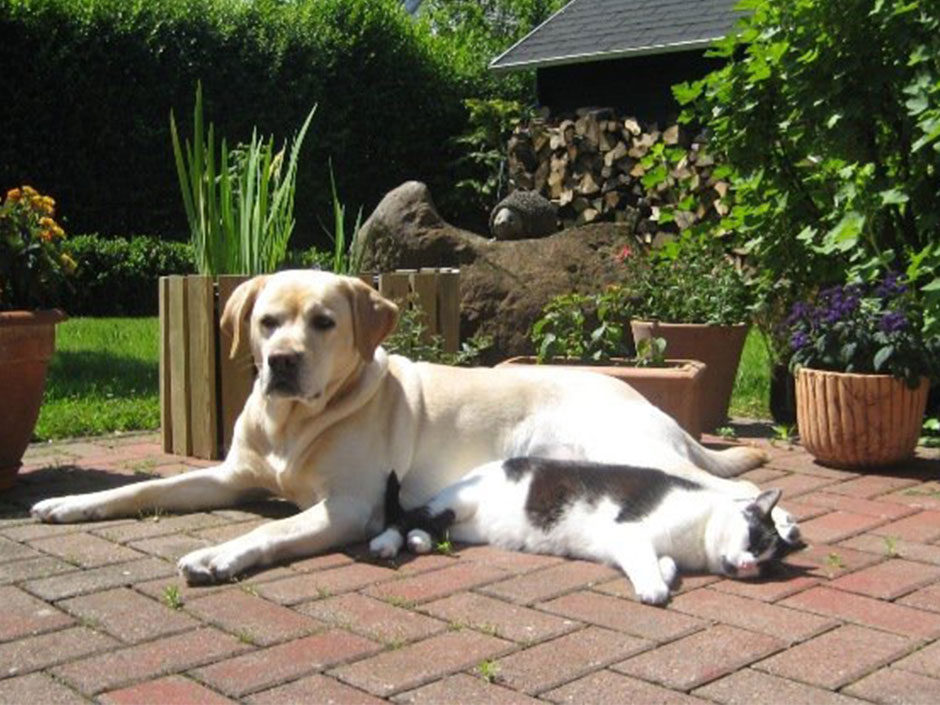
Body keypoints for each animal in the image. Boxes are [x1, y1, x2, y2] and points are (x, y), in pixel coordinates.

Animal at [33, 270, 792, 584]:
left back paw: (779, 523)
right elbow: (141, 489)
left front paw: (220, 555)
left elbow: (270, 531)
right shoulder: (228, 475)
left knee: (719, 488)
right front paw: (71, 502)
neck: (293, 422)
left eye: (324, 322)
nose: (281, 362)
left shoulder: (346, 506)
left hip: (628, 448)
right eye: (266, 321)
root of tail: (640, 395)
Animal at [370, 456, 796, 604]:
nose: (749, 566)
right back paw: (386, 543)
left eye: (766, 565)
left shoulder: (640, 546)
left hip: (465, 525)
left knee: (427, 524)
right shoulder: (631, 534)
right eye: (754, 541)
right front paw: (655, 588)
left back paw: (420, 541)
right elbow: (649, 564)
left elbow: (666, 563)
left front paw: (664, 574)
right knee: (406, 516)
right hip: (457, 502)